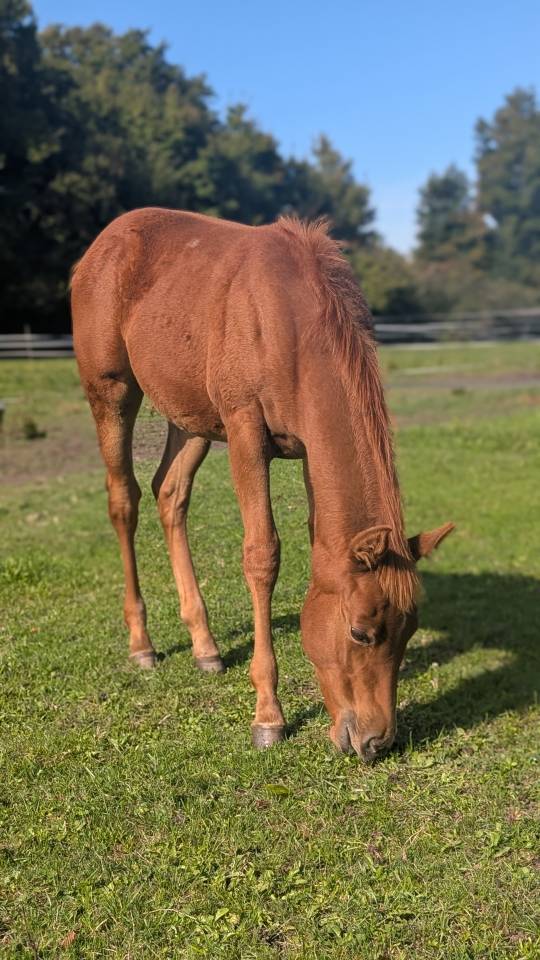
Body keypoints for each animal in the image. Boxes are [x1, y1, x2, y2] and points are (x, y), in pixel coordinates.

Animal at [72, 208, 453, 760]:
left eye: (410, 631)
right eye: (360, 633)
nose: (376, 741)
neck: (288, 326)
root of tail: (105, 243)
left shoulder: (309, 451)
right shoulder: (245, 433)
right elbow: (262, 556)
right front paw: (268, 715)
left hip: (191, 416)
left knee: (170, 495)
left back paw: (205, 646)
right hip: (112, 394)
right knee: (125, 500)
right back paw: (142, 644)